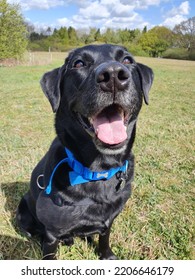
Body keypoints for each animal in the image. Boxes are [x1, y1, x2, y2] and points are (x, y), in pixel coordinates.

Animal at [16, 43, 154, 260]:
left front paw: (107, 255)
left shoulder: (109, 219)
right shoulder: (52, 233)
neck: (98, 171)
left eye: (127, 60)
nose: (113, 75)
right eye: (79, 63)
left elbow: (105, 237)